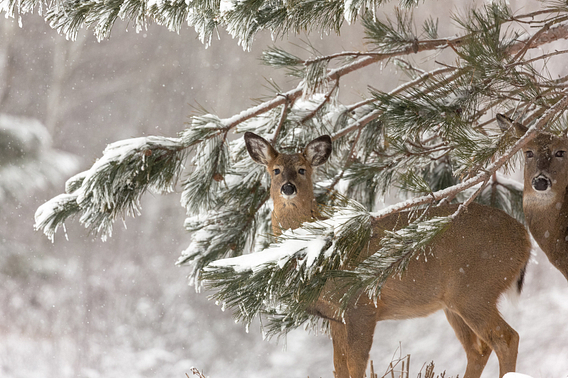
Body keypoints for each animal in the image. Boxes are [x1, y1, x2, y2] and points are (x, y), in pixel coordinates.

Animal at [244, 132, 532, 378]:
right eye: (275, 170)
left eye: (302, 169)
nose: (288, 188)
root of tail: (524, 238)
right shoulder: (335, 316)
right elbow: (339, 366)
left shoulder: (361, 305)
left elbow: (356, 364)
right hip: (454, 302)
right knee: (478, 349)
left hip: (476, 289)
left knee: (506, 338)